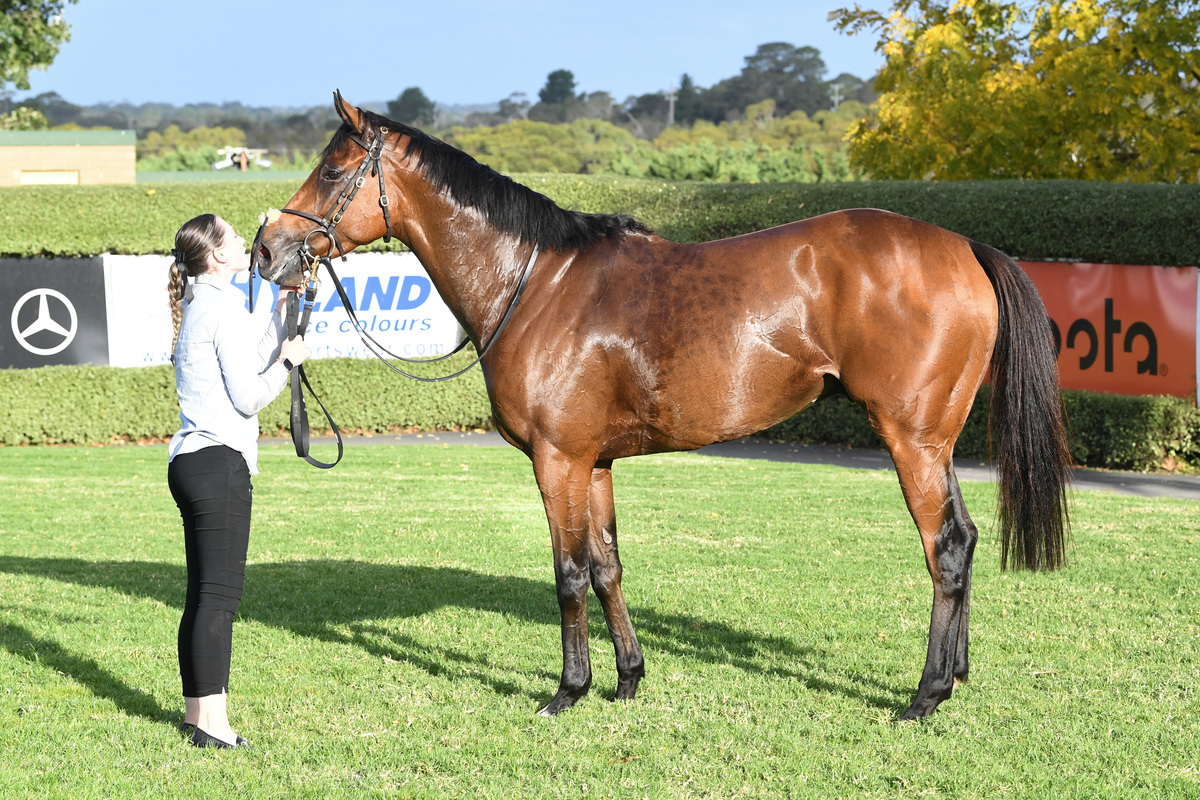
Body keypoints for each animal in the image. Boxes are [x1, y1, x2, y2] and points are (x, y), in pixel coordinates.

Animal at [255, 92, 1071, 721]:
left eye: (332, 170)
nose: (268, 250)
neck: (537, 284)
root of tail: (964, 247)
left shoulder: (557, 460)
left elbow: (569, 574)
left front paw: (568, 690)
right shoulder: (595, 462)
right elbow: (608, 568)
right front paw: (627, 679)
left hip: (911, 439)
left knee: (946, 548)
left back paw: (925, 694)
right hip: (935, 441)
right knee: (964, 539)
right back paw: (954, 677)